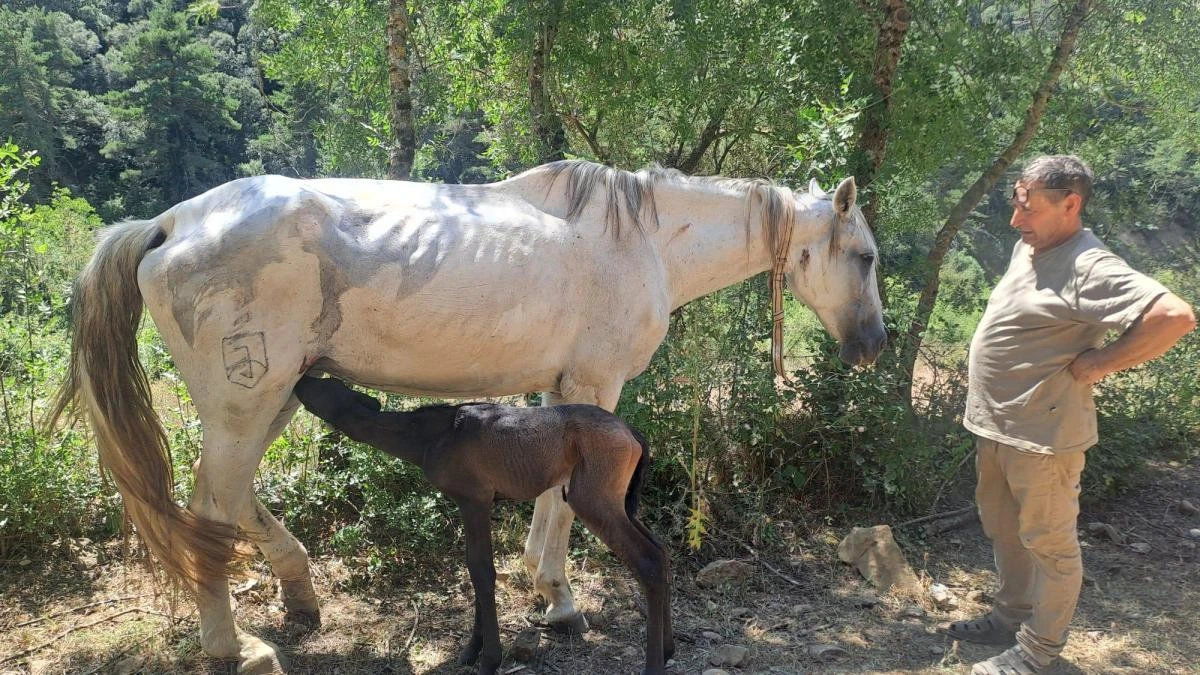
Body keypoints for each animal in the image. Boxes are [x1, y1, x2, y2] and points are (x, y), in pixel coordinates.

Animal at [53, 159, 885, 671]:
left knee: (228, 499)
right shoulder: (595, 384)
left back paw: (299, 593)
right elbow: (562, 505)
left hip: (277, 397)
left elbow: (549, 495)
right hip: (245, 403)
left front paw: (542, 592)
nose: (873, 345)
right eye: (867, 257)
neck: (640, 240)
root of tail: (171, 222)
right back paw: (236, 644)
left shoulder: (560, 392)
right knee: (212, 505)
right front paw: (560, 600)